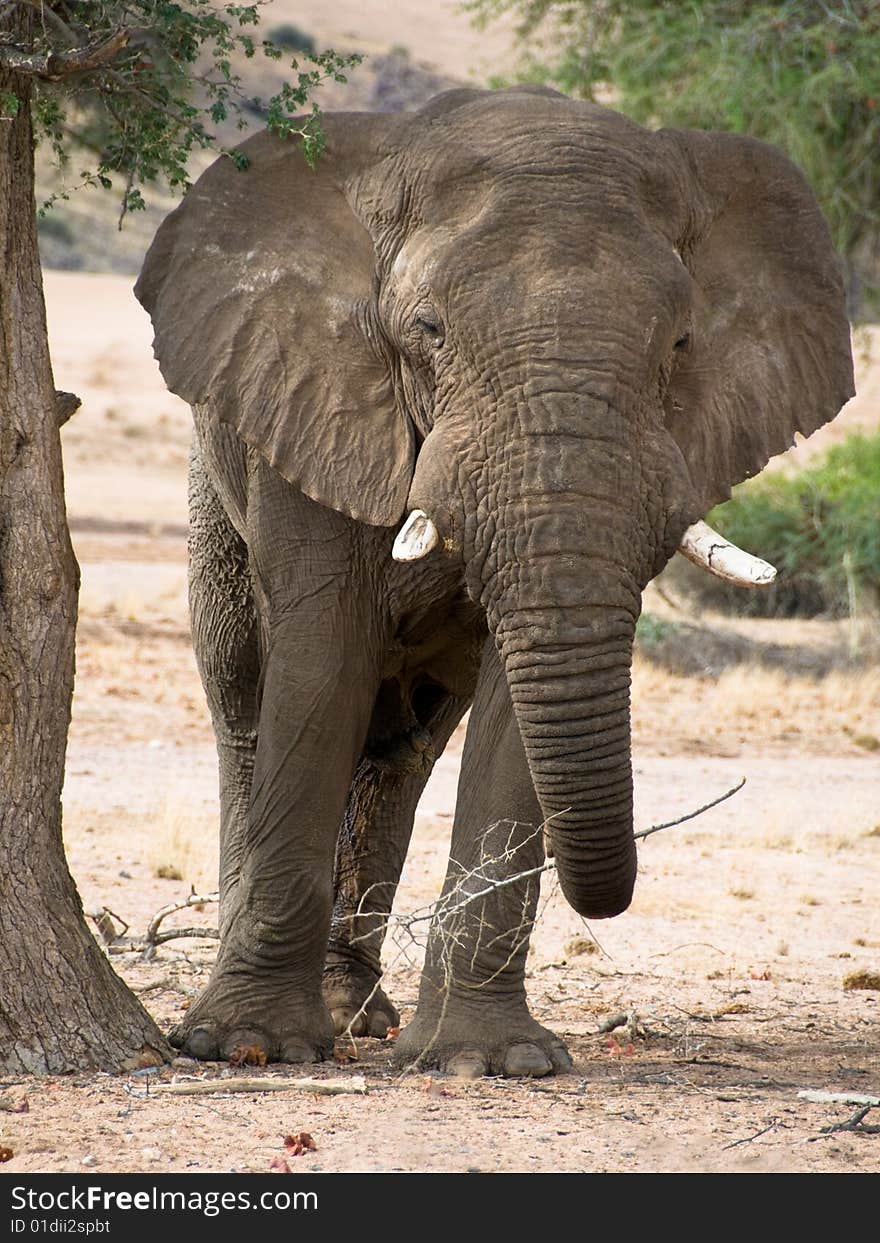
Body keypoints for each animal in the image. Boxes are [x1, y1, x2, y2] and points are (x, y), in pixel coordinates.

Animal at [135, 87, 850, 1078]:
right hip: (215, 484)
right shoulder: (317, 401)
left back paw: (361, 1017)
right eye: (428, 331)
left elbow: (516, 695)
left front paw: (487, 1060)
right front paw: (245, 1046)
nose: (609, 896)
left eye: (679, 342)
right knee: (246, 704)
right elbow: (322, 656)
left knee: (401, 753)